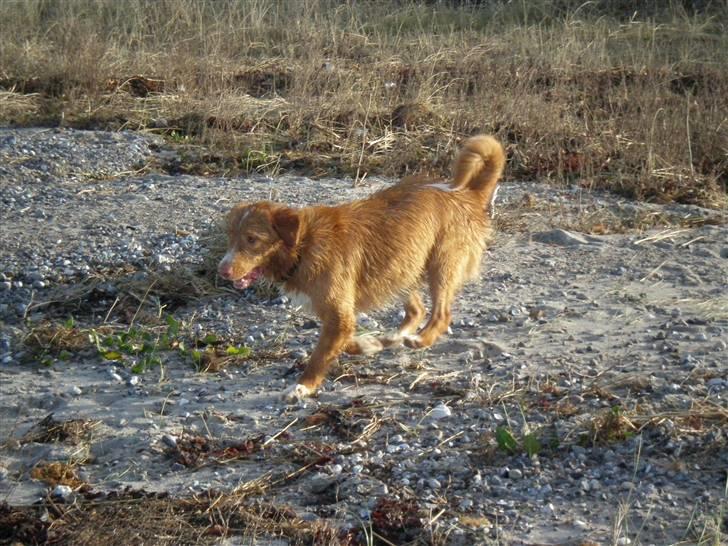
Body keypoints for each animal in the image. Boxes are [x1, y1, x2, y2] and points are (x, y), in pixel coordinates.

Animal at [218, 135, 506, 400]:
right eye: (230, 236)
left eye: (252, 240)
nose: (222, 270)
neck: (304, 244)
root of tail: (467, 194)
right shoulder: (340, 318)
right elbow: (345, 345)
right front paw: (371, 344)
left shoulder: (339, 318)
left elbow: (322, 354)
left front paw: (303, 386)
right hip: (402, 267)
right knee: (416, 310)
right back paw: (392, 338)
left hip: (440, 265)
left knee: (441, 314)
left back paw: (419, 339)